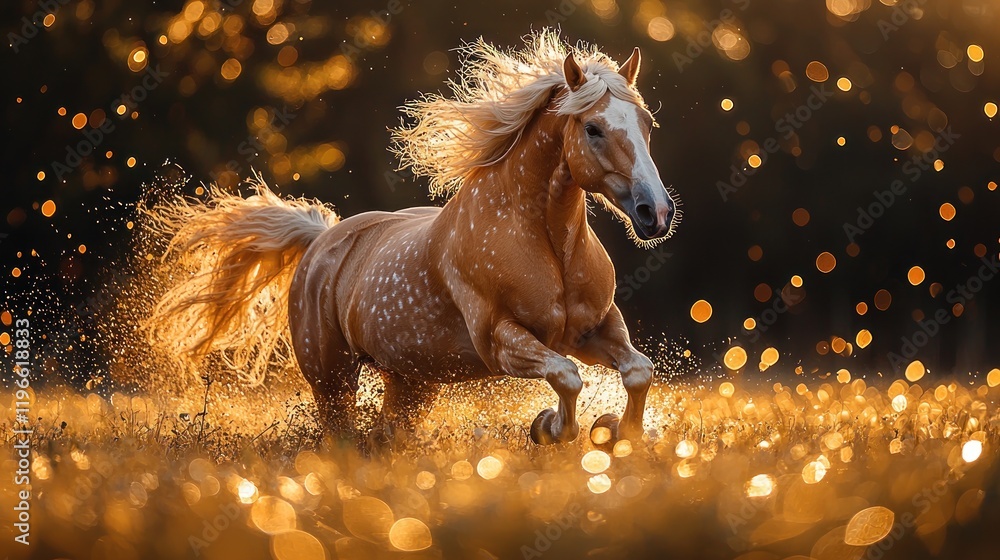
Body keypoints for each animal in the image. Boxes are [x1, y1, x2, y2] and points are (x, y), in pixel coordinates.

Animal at [146, 30, 679, 446]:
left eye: (648, 124)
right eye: (593, 128)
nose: (656, 213)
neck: (546, 244)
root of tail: (321, 240)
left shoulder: (595, 329)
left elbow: (638, 371)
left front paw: (620, 432)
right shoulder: (500, 340)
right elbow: (567, 378)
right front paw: (549, 427)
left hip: (412, 382)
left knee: (387, 436)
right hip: (332, 380)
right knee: (342, 435)